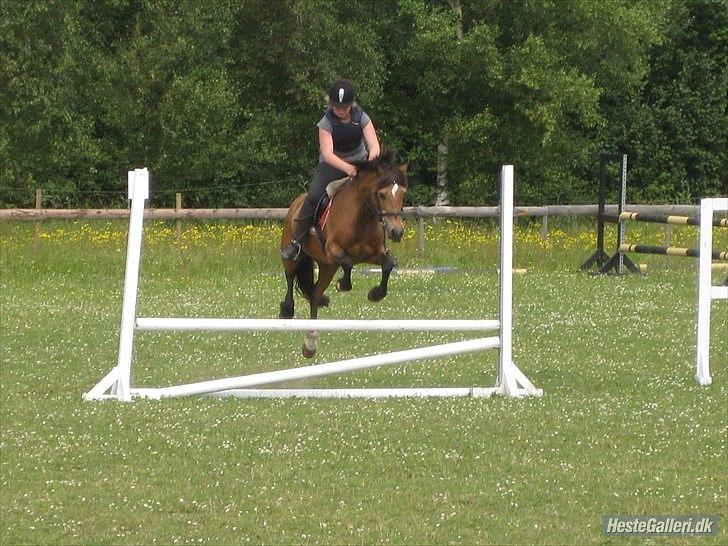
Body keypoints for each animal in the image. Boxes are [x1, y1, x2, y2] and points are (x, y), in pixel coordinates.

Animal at [278, 151, 406, 354]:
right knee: (290, 276)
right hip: (294, 253)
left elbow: (387, 265)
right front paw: (343, 284)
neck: (362, 217)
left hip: (327, 267)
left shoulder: (374, 254)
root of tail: (297, 202)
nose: (396, 232)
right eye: (381, 194)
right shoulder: (333, 250)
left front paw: (376, 294)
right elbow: (348, 262)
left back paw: (310, 343)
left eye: (403, 194)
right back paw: (287, 310)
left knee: (314, 296)